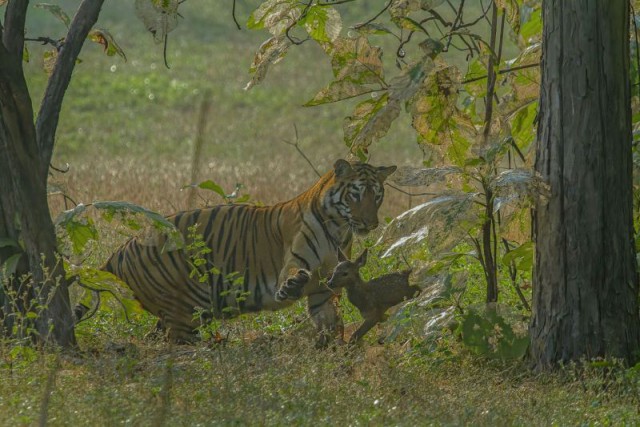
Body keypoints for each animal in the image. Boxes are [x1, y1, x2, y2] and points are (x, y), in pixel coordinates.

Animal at [97, 160, 396, 344]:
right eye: (356, 195)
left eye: (377, 196)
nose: (370, 223)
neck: (338, 229)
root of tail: (119, 250)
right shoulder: (295, 260)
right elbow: (292, 275)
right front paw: (291, 286)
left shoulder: (325, 290)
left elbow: (332, 324)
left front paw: (333, 351)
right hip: (186, 307)